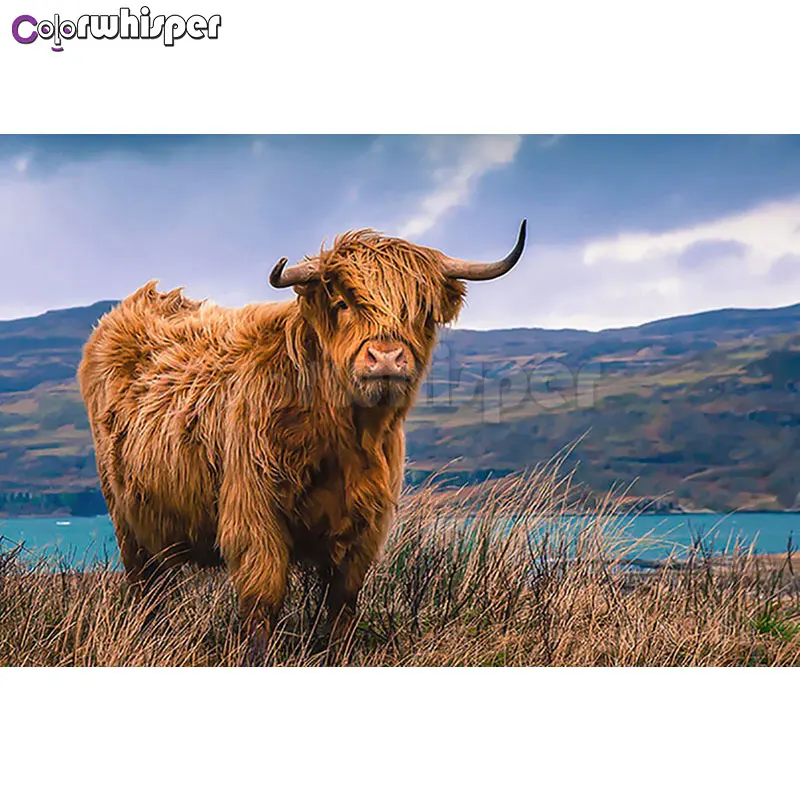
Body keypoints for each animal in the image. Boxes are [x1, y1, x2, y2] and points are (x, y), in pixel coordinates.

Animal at [77, 221, 527, 651]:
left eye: (421, 312)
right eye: (343, 303)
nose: (385, 358)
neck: (344, 437)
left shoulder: (364, 527)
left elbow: (343, 606)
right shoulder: (254, 517)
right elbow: (262, 605)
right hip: (127, 522)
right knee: (146, 590)